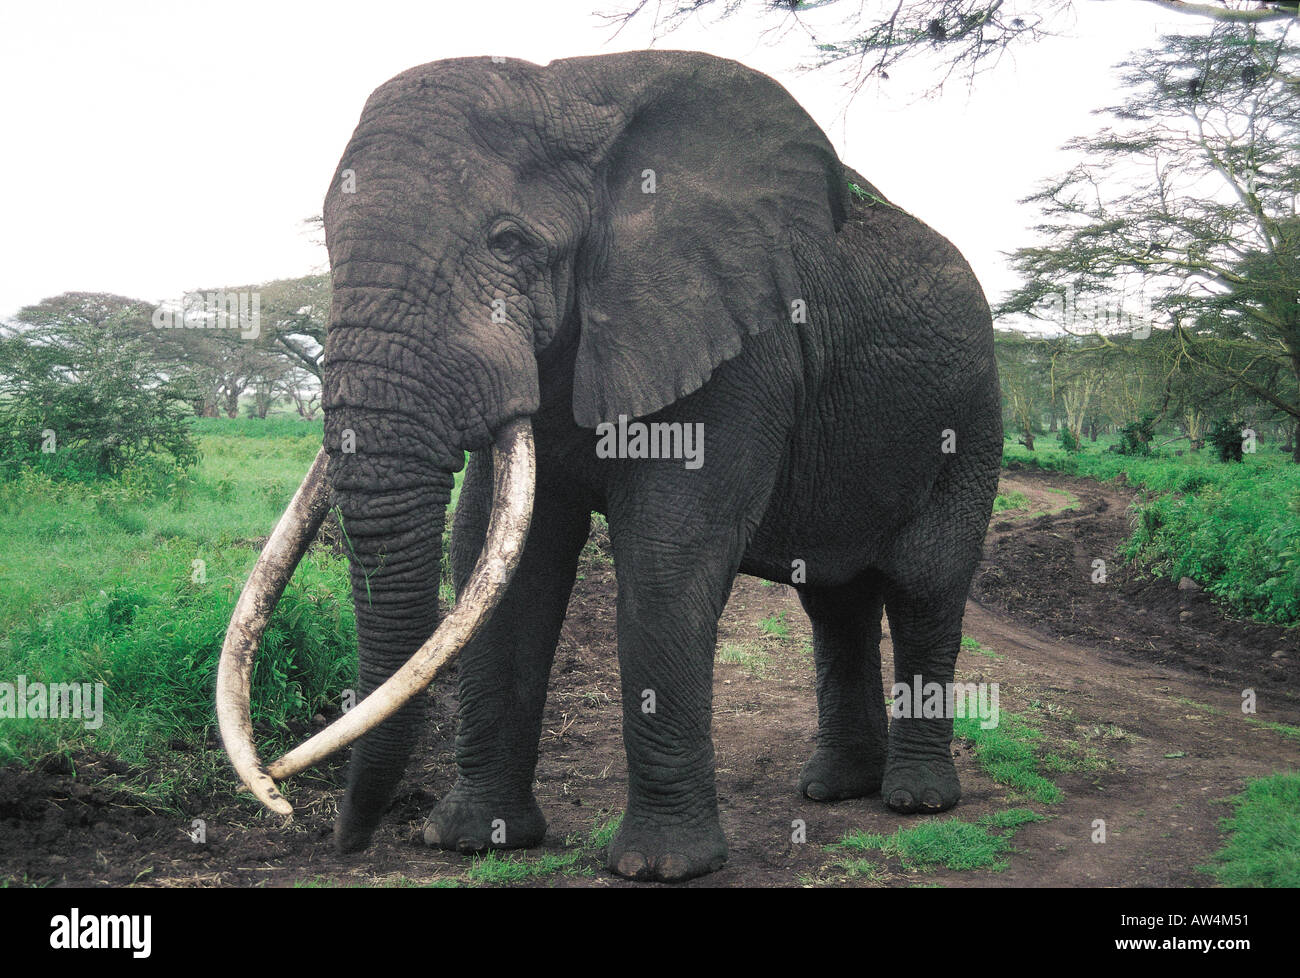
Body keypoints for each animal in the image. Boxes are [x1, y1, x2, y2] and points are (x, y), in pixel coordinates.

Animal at [215, 49, 1003, 884]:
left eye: (508, 243)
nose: (326, 828)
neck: (571, 91)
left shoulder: (740, 345)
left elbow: (666, 557)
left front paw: (662, 866)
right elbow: (503, 557)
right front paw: (471, 841)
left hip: (971, 419)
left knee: (924, 586)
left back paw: (915, 801)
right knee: (833, 598)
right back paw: (833, 789)